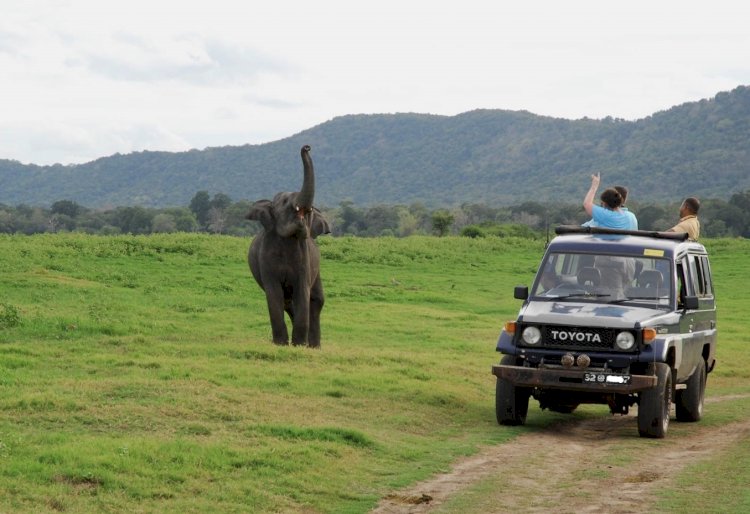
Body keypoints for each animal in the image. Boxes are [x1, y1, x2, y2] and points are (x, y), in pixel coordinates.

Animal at [247, 142, 328, 346]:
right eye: (284, 202)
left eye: (309, 213)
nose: (307, 147)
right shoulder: (266, 258)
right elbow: (273, 293)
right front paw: (281, 344)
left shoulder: (305, 258)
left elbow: (303, 292)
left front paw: (298, 345)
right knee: (287, 301)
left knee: (315, 300)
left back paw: (313, 347)